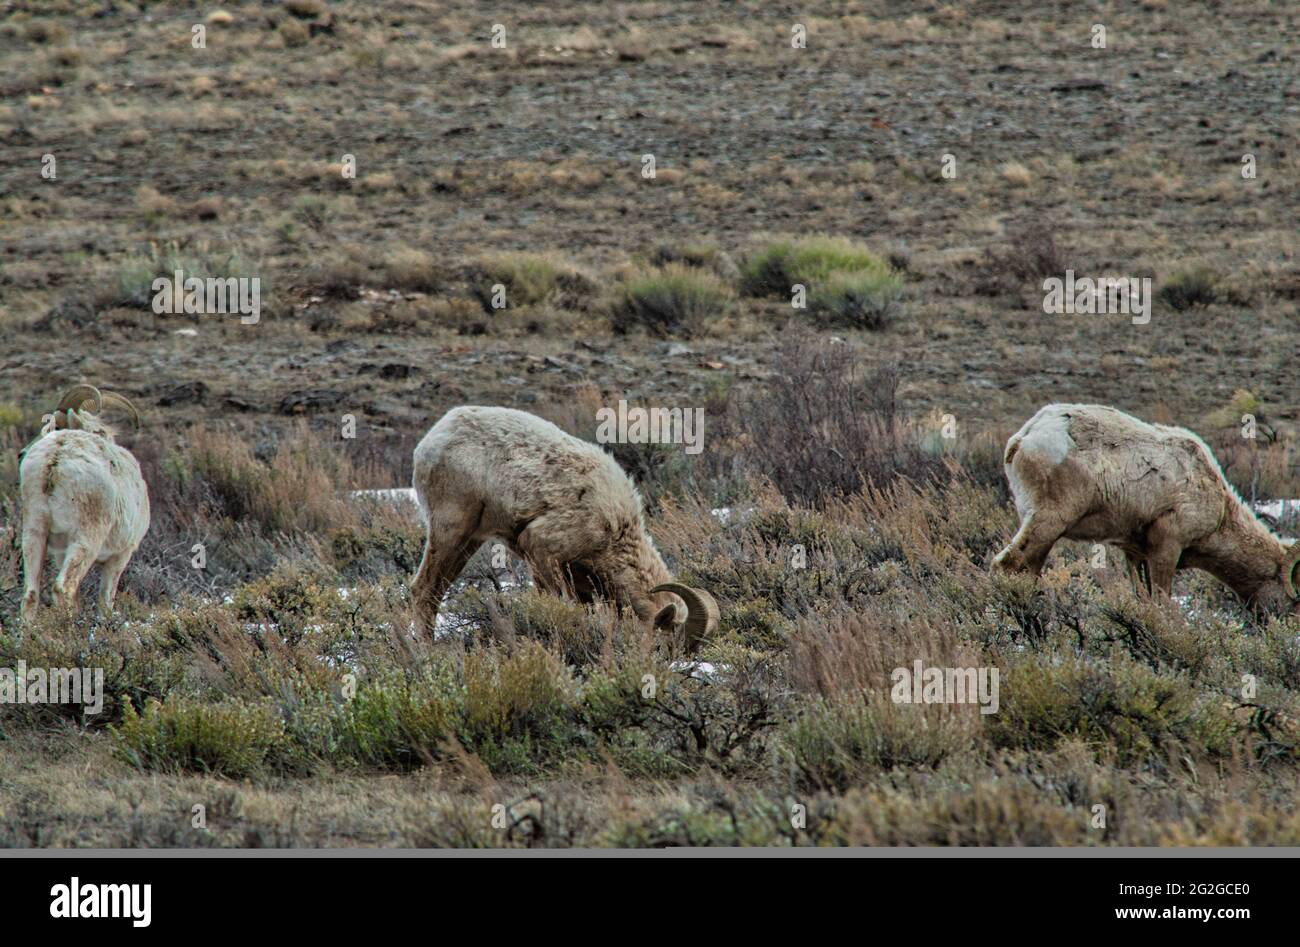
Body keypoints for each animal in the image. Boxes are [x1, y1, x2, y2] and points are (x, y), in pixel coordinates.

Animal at [19, 385, 150, 620]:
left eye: (54, 426)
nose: (21, 453)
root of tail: (56, 456)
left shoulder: (59, 553)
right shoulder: (120, 556)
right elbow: (106, 599)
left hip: (34, 532)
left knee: (31, 595)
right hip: (86, 540)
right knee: (63, 588)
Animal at [410, 405, 719, 646]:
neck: (613, 531)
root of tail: (432, 439)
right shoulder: (542, 552)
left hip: (470, 540)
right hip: (451, 531)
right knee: (423, 591)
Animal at [992, 403, 1300, 611]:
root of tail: (1024, 437)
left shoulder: (1135, 554)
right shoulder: (1166, 548)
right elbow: (1162, 604)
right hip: (1048, 523)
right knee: (1010, 565)